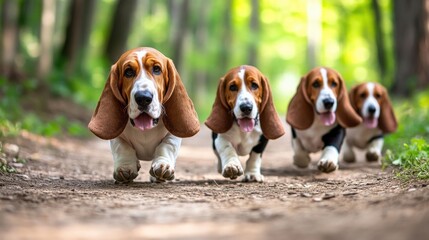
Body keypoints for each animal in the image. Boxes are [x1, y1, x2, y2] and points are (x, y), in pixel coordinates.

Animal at [88, 46, 201, 182]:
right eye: (128, 72)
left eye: (157, 69)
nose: (143, 98)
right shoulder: (116, 137)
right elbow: (122, 147)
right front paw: (125, 167)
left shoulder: (173, 136)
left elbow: (167, 146)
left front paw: (163, 165)